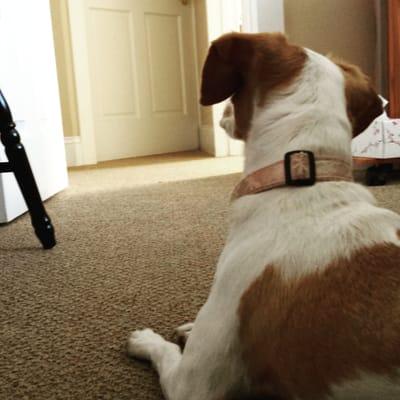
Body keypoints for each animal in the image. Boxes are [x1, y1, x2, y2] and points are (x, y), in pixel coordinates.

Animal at [127, 32, 400, 400]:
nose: (222, 111)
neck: (302, 177)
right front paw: (189, 327)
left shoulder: (193, 384)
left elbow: (165, 352)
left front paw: (145, 339)